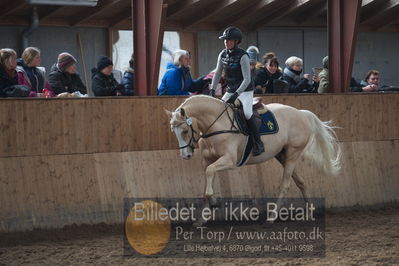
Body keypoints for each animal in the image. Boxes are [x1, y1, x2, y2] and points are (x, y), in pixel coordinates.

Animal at [166, 95, 340, 206]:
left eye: (185, 131)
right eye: (173, 132)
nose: (186, 155)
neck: (217, 124)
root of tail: (301, 113)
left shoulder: (229, 161)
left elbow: (210, 172)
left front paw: (213, 201)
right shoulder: (207, 160)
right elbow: (208, 177)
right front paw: (203, 219)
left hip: (293, 153)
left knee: (285, 185)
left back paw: (272, 216)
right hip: (282, 154)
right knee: (301, 182)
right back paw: (309, 210)